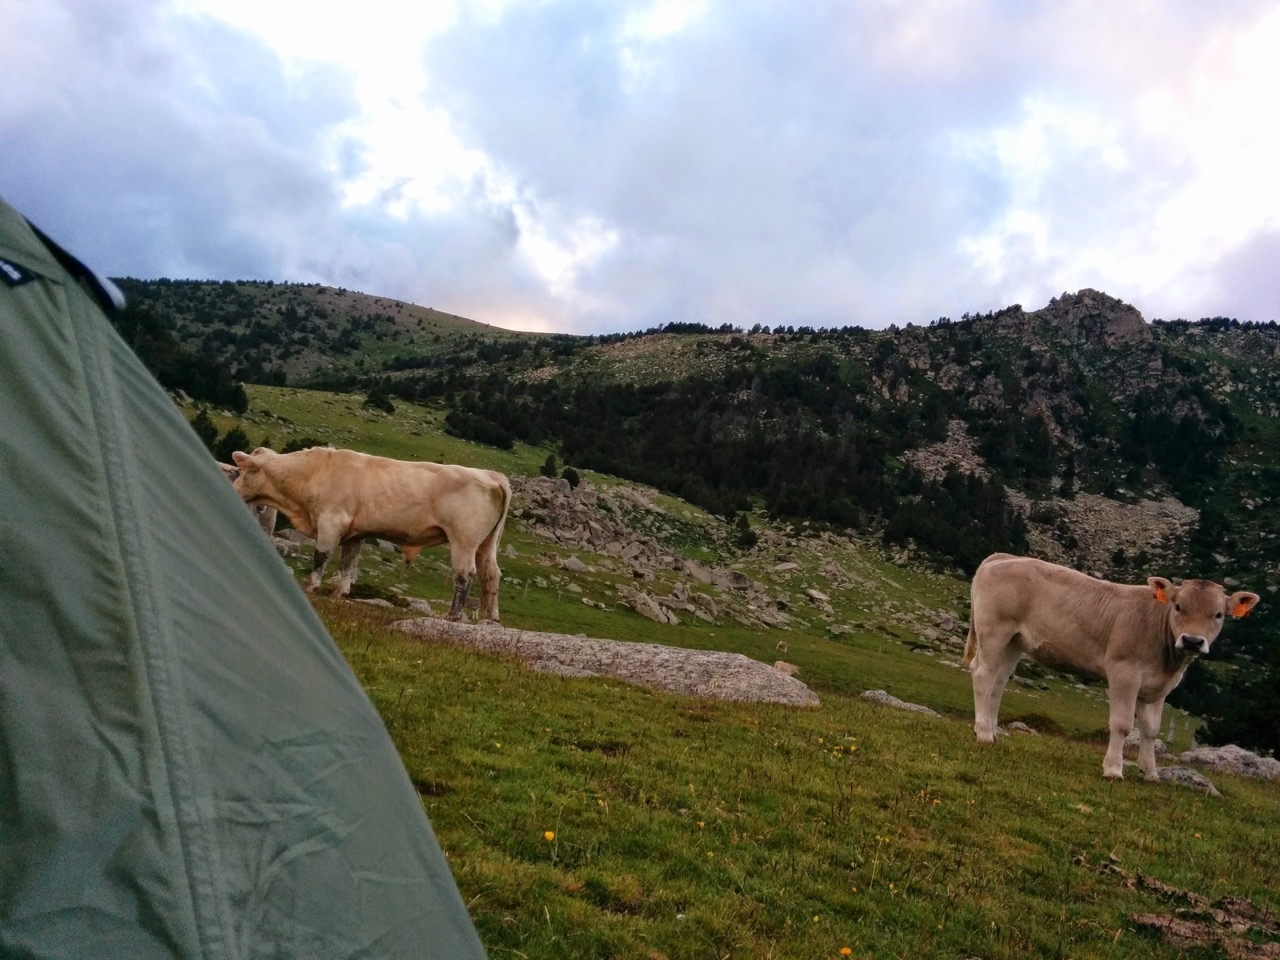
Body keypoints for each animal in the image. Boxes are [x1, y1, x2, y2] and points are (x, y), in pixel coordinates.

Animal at [230, 445, 509, 619]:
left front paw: (312, 587)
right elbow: (348, 563)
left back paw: (454, 614)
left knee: (465, 574)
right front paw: (340, 593)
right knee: (491, 574)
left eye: (243, 471)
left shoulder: (331, 521)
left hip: (464, 539)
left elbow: (321, 556)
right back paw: (491, 617)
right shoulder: (356, 533)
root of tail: (490, 474)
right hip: (486, 544)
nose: (232, 490)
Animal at [962, 555, 1254, 783]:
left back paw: (992, 731)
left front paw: (1150, 772)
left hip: (1014, 641)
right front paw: (1113, 769)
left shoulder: (1159, 688)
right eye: (1179, 606)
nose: (1192, 640)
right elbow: (1123, 724)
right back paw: (984, 732)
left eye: (1218, 614)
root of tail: (1002, 557)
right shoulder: (1124, 672)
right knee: (983, 674)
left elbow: (1151, 729)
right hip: (995, 630)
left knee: (998, 682)